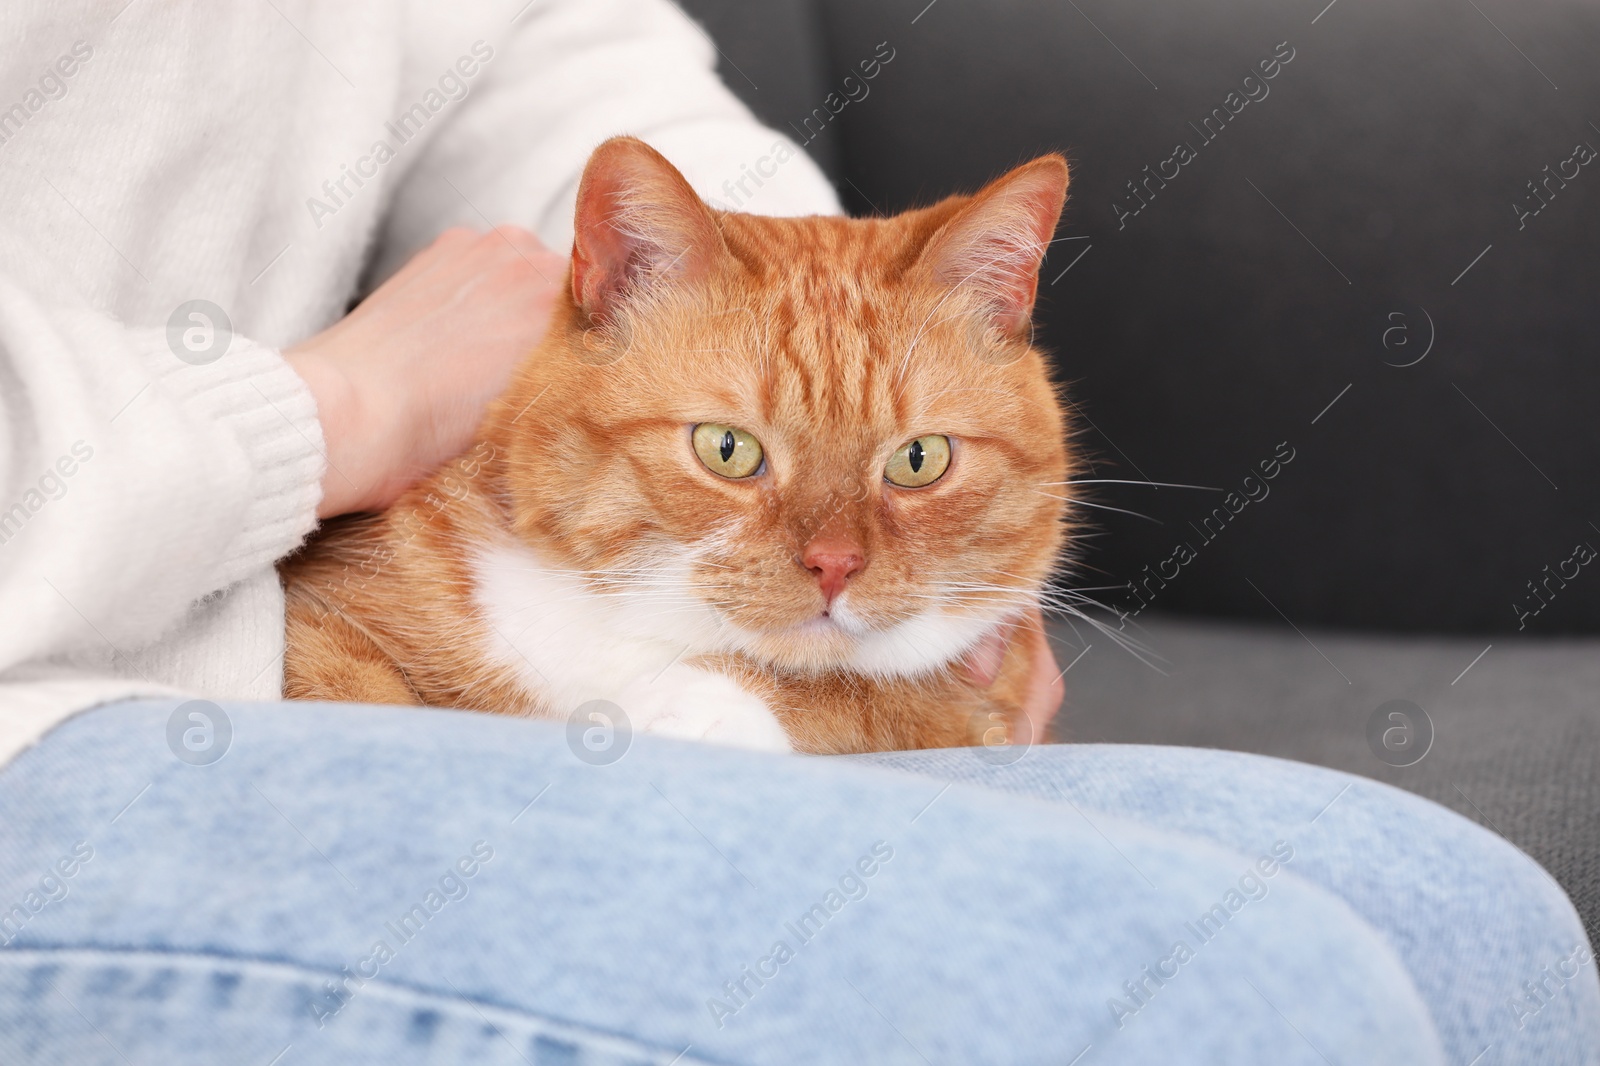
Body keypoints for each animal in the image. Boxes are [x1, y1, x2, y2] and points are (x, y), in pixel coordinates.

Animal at [283, 139, 1075, 755]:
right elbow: (344, 692)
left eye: (919, 460)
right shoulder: (325, 611)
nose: (835, 566)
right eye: (727, 449)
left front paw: (703, 704)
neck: (640, 636)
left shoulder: (990, 688)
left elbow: (889, 691)